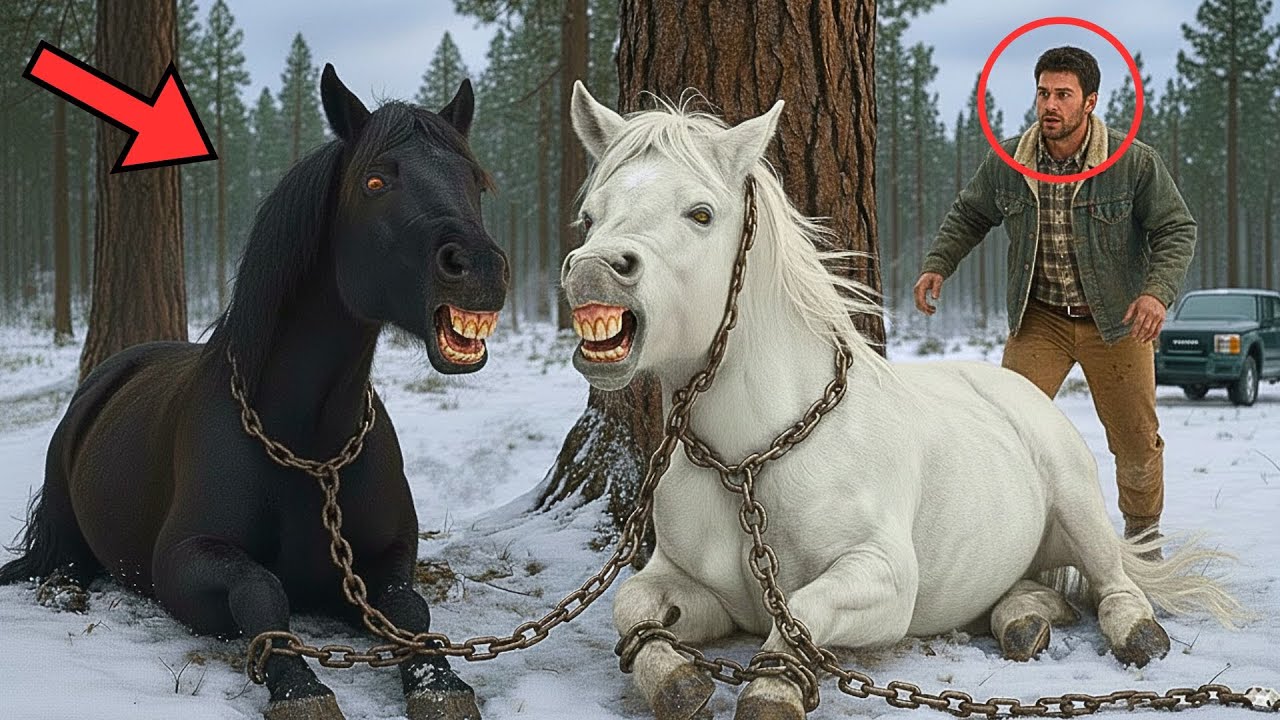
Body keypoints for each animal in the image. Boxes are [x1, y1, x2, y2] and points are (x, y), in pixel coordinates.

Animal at [0, 65, 506, 720]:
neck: (312, 447)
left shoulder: (385, 559)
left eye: (475, 181)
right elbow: (262, 593)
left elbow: (409, 611)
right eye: (375, 180)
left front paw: (438, 681)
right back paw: (63, 589)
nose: (481, 269)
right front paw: (301, 688)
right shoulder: (182, 557)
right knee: (62, 557)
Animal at [560, 81, 1247, 720]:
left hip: (1077, 499)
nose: (593, 270)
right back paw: (1023, 619)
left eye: (700, 214)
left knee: (1114, 584)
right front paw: (678, 680)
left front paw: (773, 687)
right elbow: (631, 603)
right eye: (590, 216)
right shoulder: (697, 588)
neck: (749, 460)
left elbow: (800, 610)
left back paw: (1134, 632)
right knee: (1035, 591)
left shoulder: (884, 579)